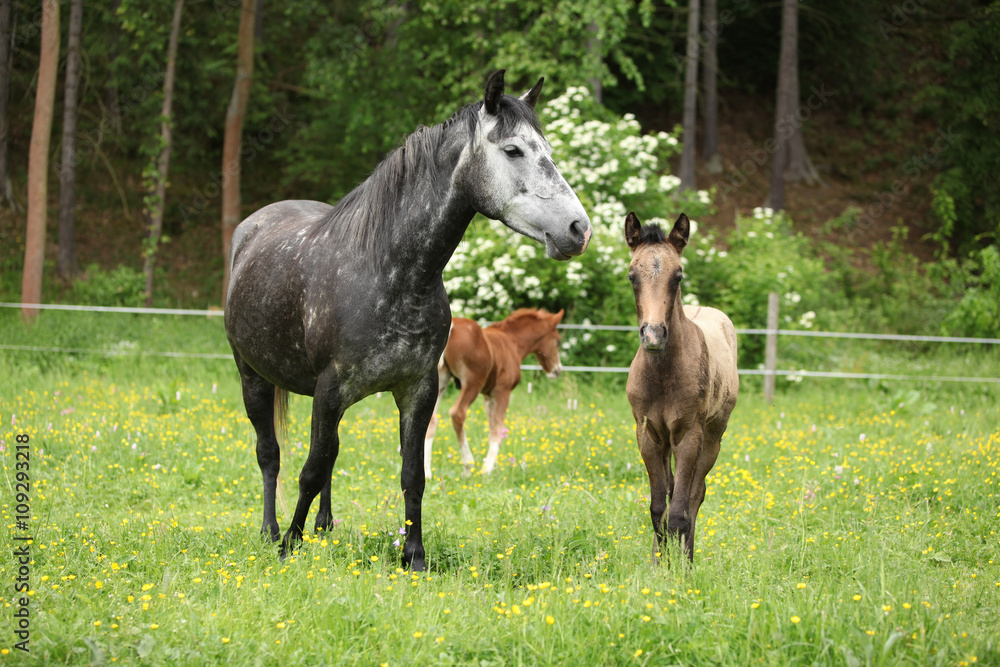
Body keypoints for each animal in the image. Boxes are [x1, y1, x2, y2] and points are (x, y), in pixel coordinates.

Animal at [422, 308, 564, 480]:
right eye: (558, 341)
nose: (557, 370)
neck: (511, 342)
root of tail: (451, 327)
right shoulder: (502, 390)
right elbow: (498, 430)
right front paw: (487, 470)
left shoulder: (487, 395)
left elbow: (491, 429)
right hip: (473, 382)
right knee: (458, 413)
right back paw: (468, 466)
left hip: (440, 380)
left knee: (431, 419)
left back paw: (426, 472)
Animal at [620, 211, 740, 560]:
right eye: (632, 276)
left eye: (678, 276)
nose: (654, 335)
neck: (662, 376)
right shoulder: (648, 435)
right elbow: (658, 507)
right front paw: (658, 564)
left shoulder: (689, 435)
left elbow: (679, 512)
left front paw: (680, 567)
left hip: (713, 436)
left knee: (695, 495)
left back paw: (688, 556)